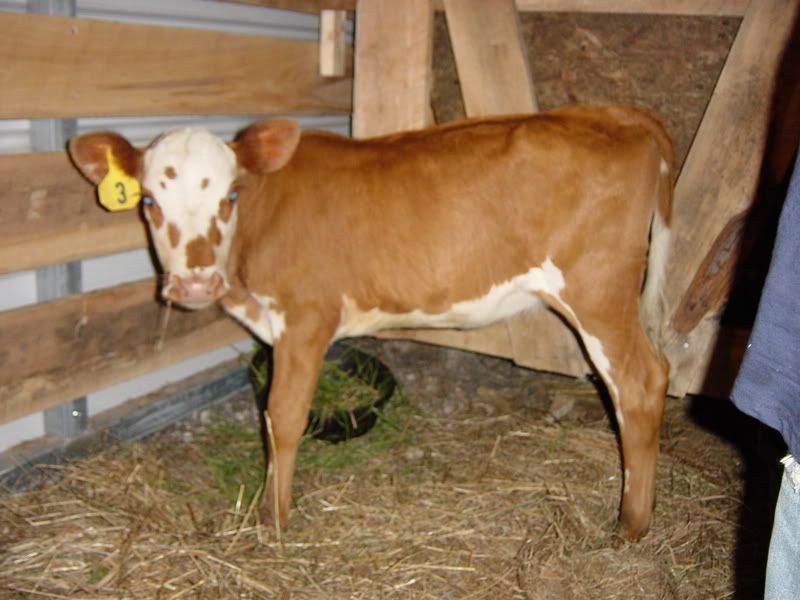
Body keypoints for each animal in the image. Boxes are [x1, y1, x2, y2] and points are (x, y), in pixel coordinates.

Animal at [69, 104, 673, 541]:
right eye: (149, 200)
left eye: (231, 194)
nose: (195, 284)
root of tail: (614, 113)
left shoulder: (306, 319)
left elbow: (282, 418)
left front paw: (272, 521)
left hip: (597, 292)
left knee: (640, 383)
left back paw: (631, 525)